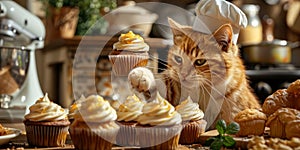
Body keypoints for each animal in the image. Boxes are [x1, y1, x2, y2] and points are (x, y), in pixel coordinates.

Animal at [127, 18, 262, 127]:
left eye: (200, 62)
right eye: (178, 59)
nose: (183, 74)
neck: (203, 92)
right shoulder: (173, 91)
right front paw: (141, 75)